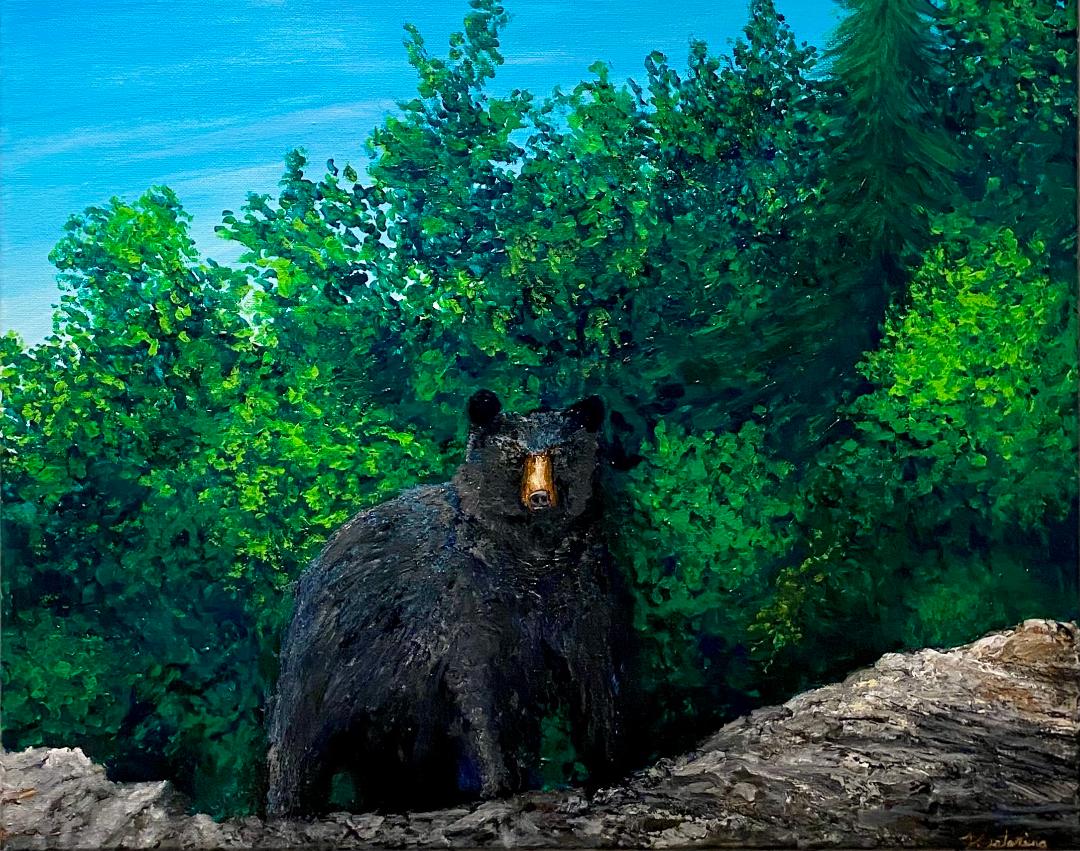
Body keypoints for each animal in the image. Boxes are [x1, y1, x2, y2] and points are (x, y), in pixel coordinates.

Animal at [265, 390, 632, 817]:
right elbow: (475, 686)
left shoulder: (583, 589)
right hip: (335, 663)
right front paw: (496, 782)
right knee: (302, 744)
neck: (533, 553)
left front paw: (609, 764)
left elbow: (596, 675)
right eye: (515, 455)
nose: (540, 497)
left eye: (559, 453)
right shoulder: (463, 602)